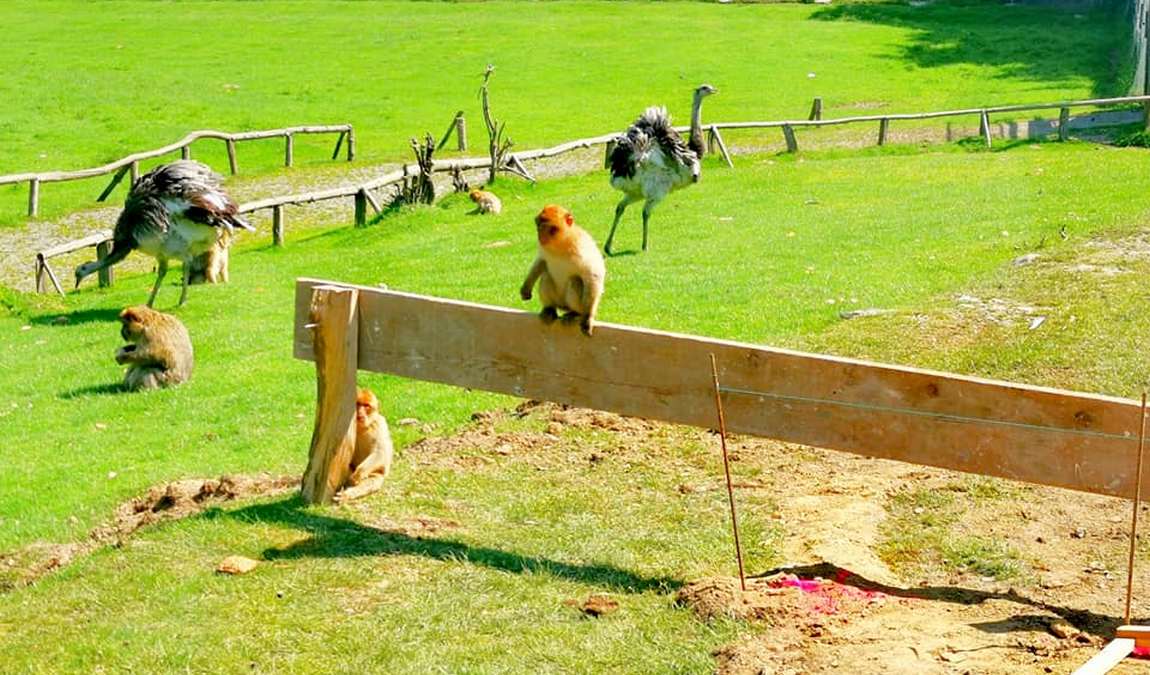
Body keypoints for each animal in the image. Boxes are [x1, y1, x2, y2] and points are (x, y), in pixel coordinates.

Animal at [520, 204, 606, 336]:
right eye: (539, 225)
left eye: (551, 228)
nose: (541, 237)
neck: (560, 244)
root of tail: (564, 306)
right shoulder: (543, 248)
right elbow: (541, 261)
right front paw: (526, 288)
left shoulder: (582, 247)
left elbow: (593, 276)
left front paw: (588, 318)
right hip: (558, 301)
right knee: (546, 275)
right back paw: (549, 309)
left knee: (575, 280)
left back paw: (575, 313)